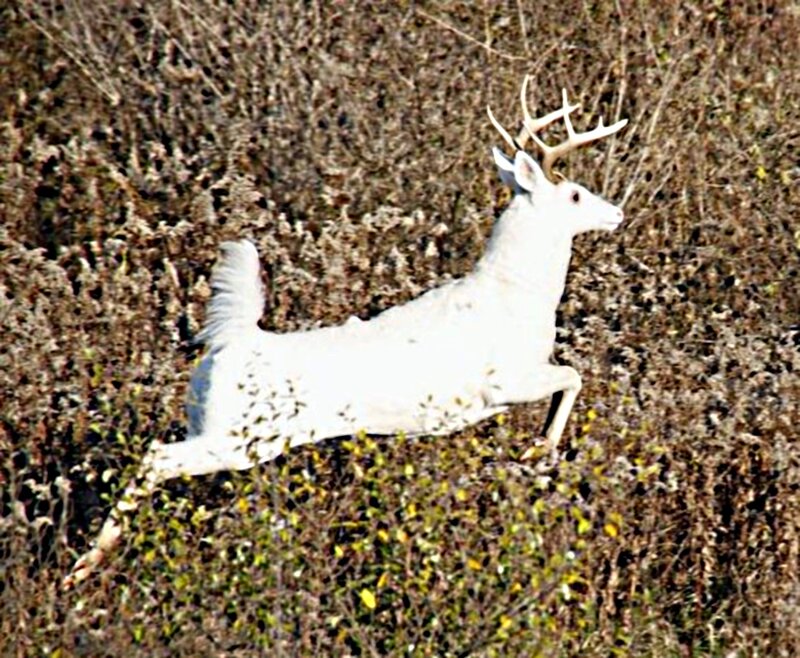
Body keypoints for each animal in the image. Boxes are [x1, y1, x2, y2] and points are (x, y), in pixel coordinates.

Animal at [64, 76, 627, 589]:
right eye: (575, 195)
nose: (617, 213)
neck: (519, 293)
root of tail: (229, 345)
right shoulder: (503, 381)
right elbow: (573, 376)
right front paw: (539, 449)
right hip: (238, 436)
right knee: (157, 457)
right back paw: (82, 567)